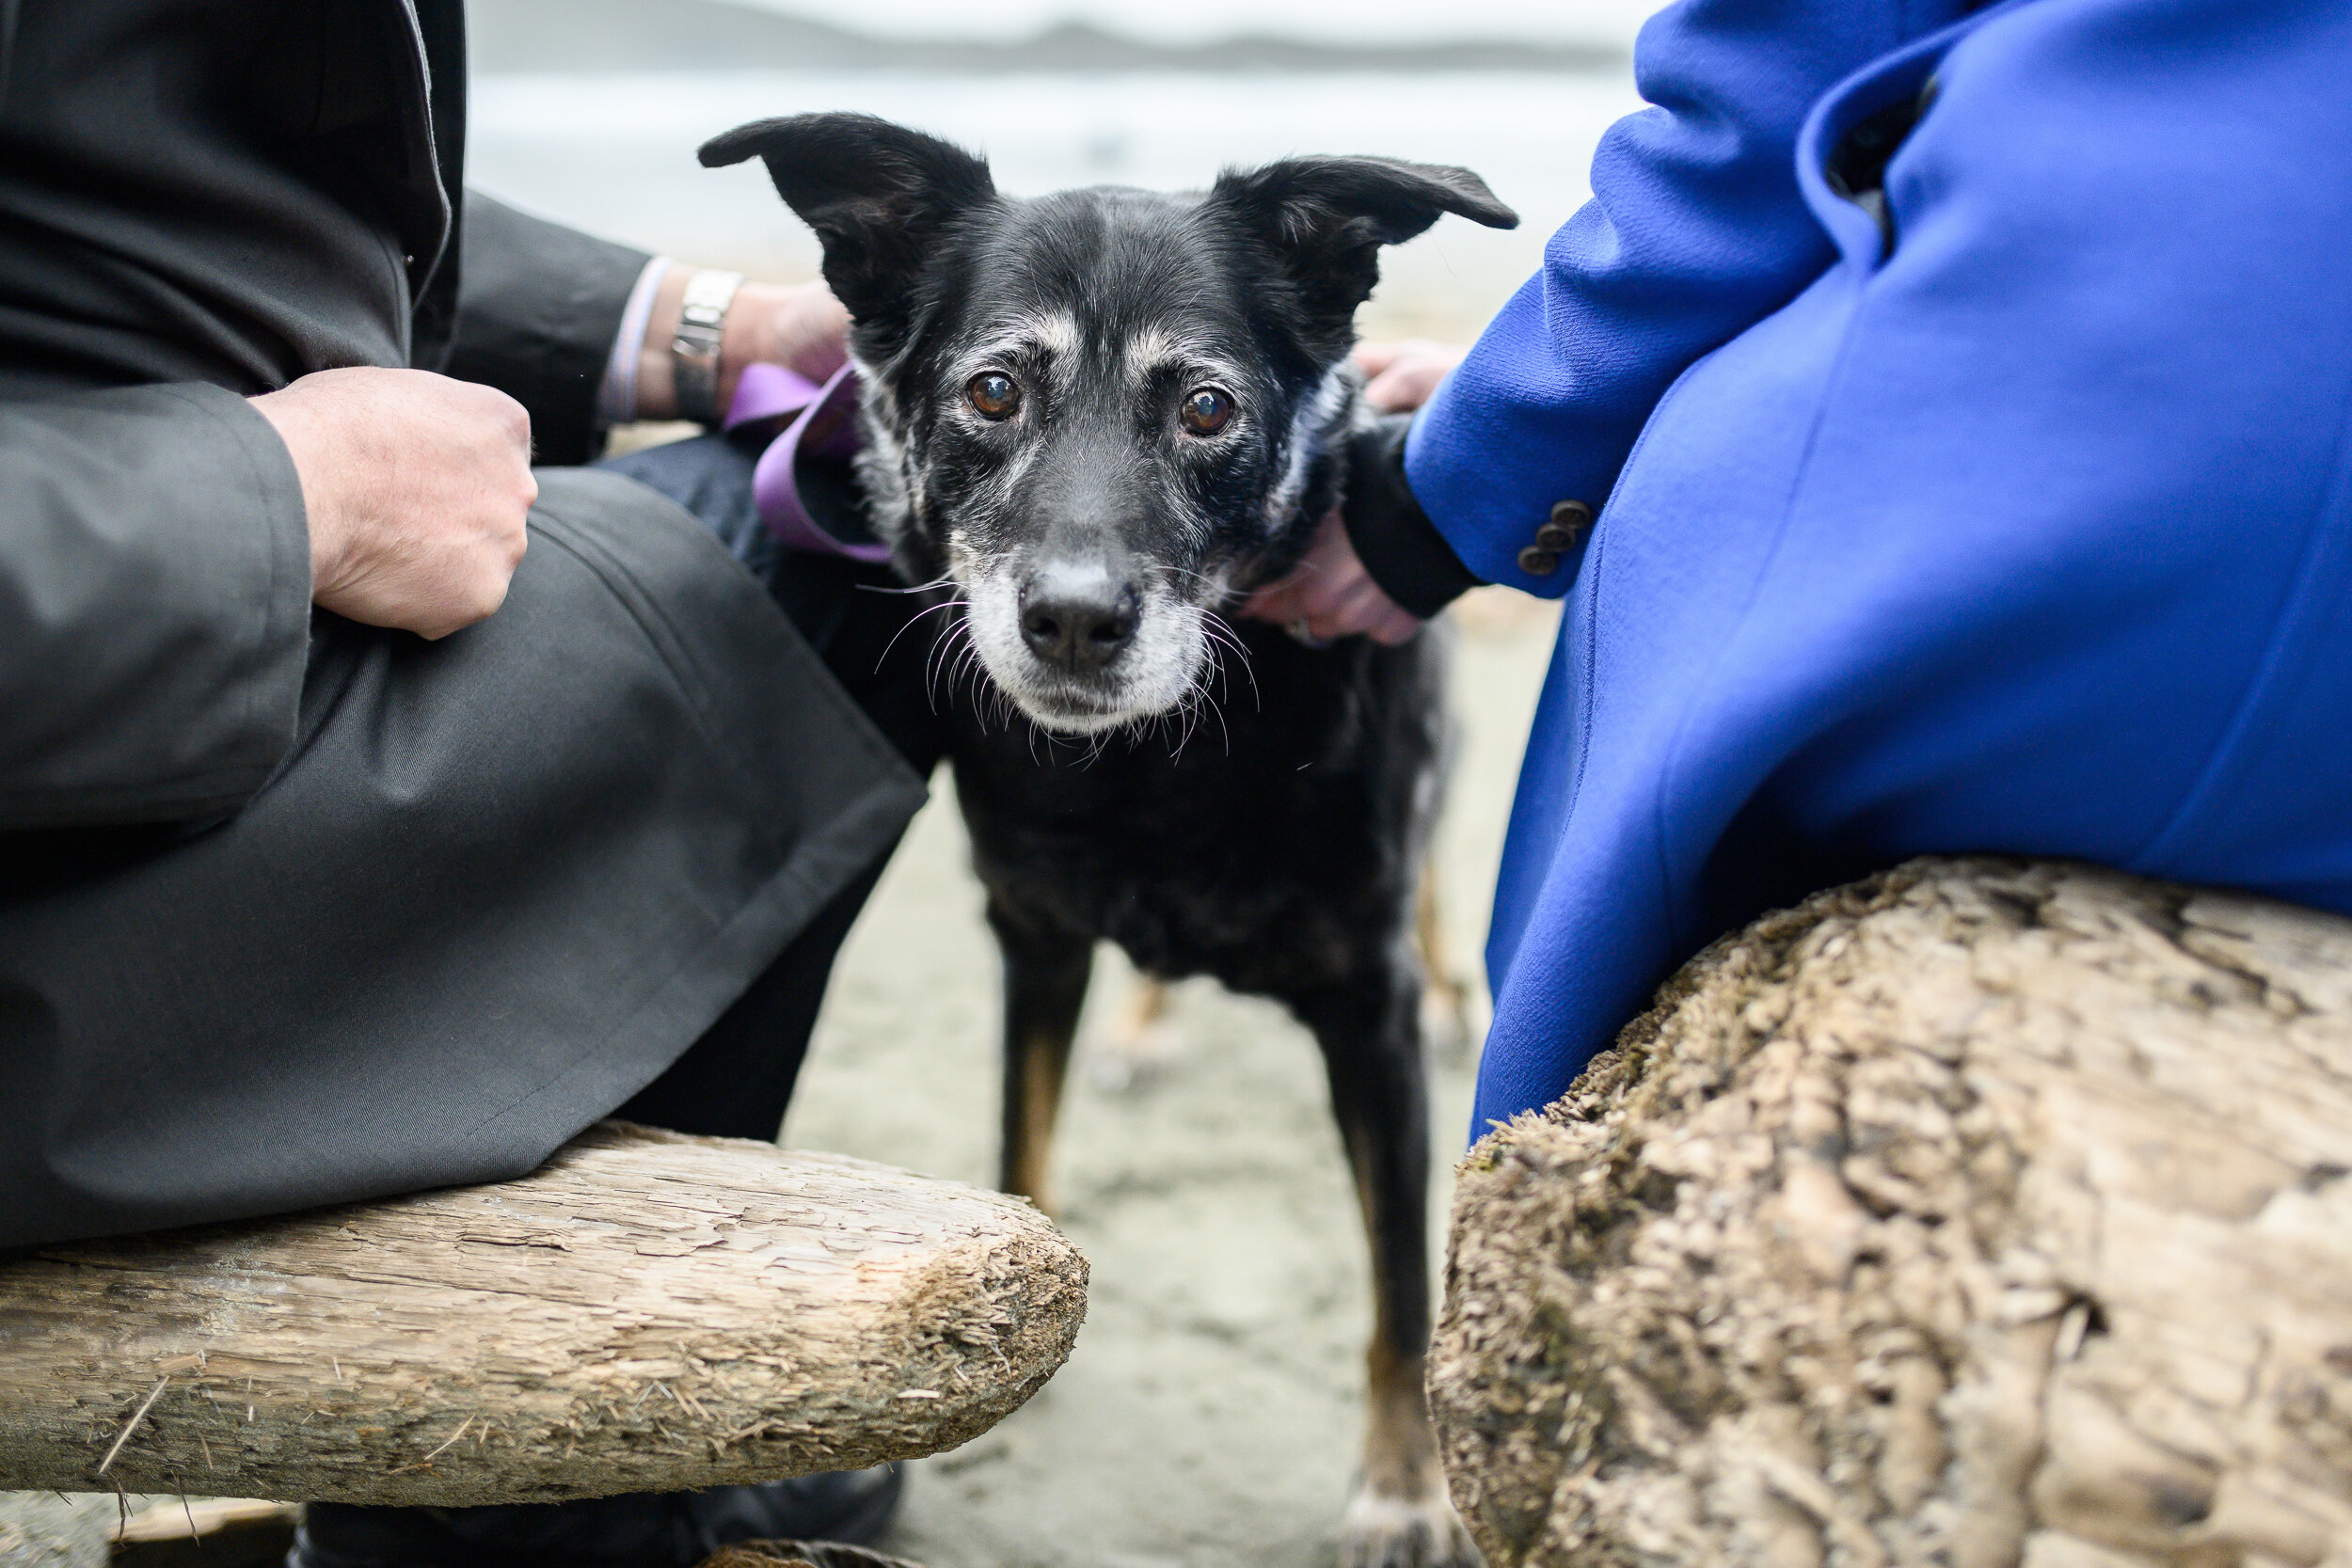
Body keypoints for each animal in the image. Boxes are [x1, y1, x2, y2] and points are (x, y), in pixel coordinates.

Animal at [701, 113, 1505, 1568]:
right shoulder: (1034, 936)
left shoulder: (1365, 1011)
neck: (1153, 759)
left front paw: (1404, 1488)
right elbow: (1021, 1152)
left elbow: (1399, 1294)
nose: (1074, 621)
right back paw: (1144, 1023)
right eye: (992, 393)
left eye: (1207, 408)